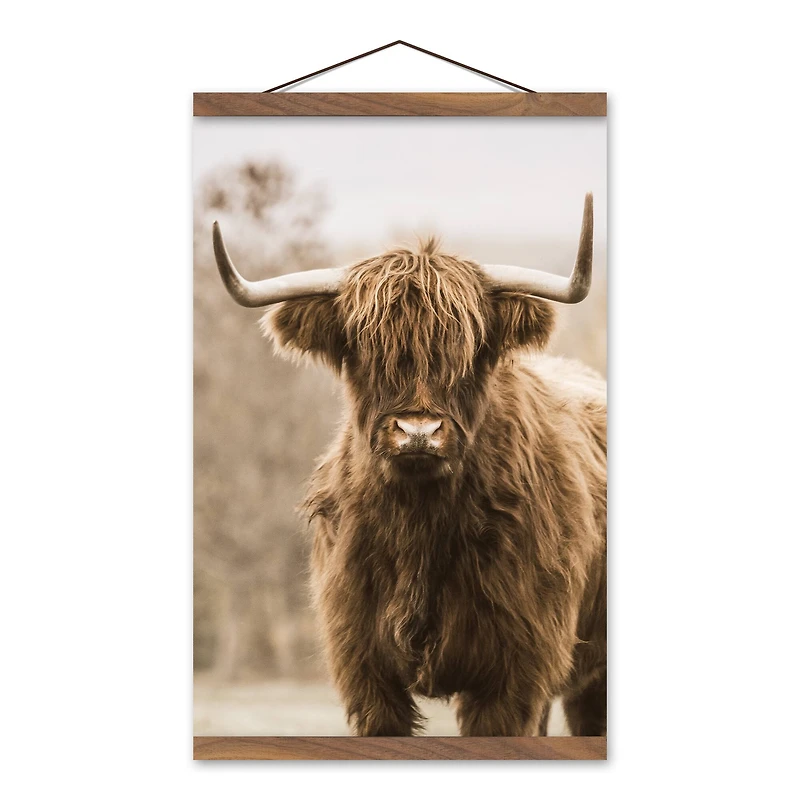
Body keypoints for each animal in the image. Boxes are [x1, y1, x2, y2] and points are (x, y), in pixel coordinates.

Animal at [212, 193, 606, 737]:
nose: (418, 431)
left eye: (471, 349)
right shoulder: (364, 669)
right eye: (364, 348)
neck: (420, 524)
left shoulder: (517, 672)